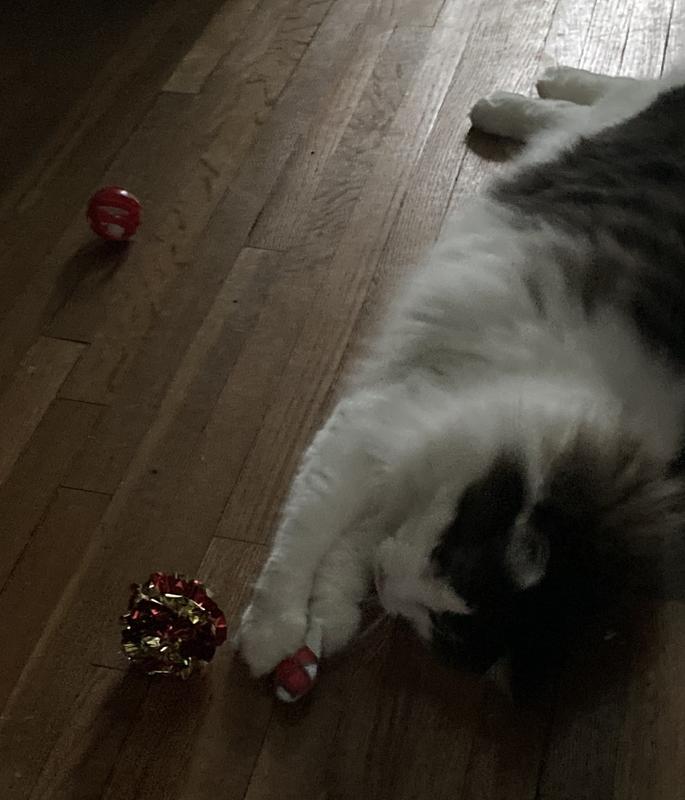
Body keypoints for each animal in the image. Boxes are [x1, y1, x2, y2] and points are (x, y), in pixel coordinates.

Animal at [234, 65, 684, 692]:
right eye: (447, 559)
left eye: (439, 626)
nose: (390, 592)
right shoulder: (379, 429)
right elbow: (301, 538)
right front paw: (269, 632)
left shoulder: (404, 458)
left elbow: (349, 547)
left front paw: (329, 618)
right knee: (595, 99)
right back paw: (508, 99)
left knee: (587, 106)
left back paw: (530, 90)